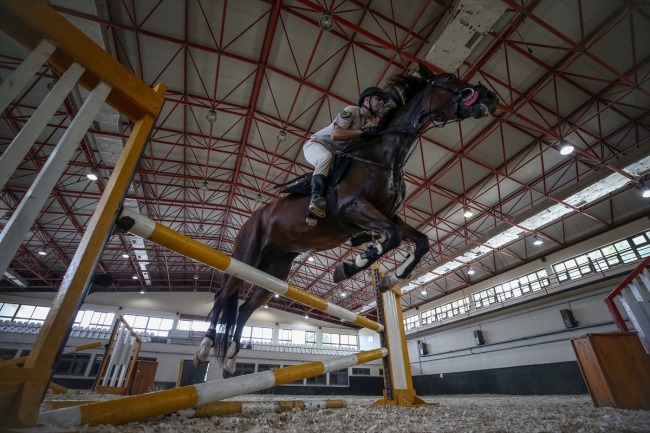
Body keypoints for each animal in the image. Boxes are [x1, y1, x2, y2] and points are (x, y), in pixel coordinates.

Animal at [192, 62, 496, 376]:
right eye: (449, 78)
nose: (489, 96)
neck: (384, 155)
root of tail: (252, 219)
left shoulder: (387, 214)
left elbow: (420, 241)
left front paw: (393, 277)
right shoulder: (353, 208)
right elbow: (393, 238)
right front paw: (351, 266)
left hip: (274, 270)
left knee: (244, 308)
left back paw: (230, 360)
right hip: (247, 255)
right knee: (222, 296)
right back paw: (204, 348)